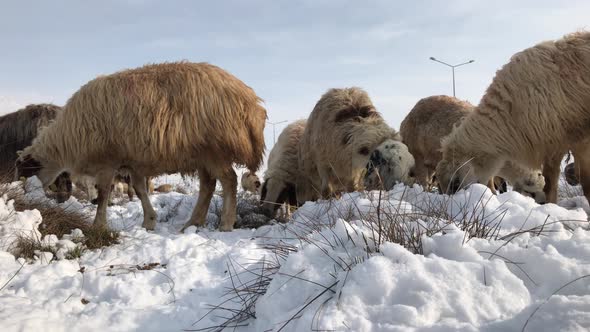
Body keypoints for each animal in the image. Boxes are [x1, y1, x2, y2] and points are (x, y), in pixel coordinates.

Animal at [16, 61, 268, 231]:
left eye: (24, 171)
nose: (24, 195)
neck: (67, 139)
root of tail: (250, 101)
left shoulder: (108, 160)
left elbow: (104, 193)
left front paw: (99, 225)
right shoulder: (133, 162)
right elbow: (139, 190)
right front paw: (149, 221)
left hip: (215, 148)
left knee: (228, 180)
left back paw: (225, 223)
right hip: (203, 154)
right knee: (208, 185)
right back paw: (192, 223)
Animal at [434, 31, 590, 204]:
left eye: (455, 183)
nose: (457, 203)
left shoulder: (578, 138)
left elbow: (584, 181)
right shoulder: (553, 144)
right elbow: (550, 186)